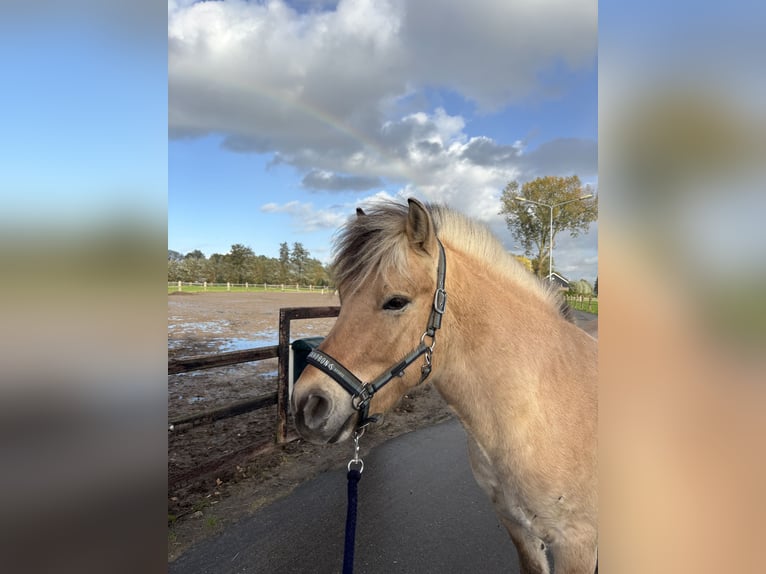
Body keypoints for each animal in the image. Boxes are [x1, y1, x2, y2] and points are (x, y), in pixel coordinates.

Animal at [292, 198, 598, 573]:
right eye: (342, 295)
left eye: (396, 301)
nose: (307, 405)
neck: (543, 408)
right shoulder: (518, 527)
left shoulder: (576, 544)